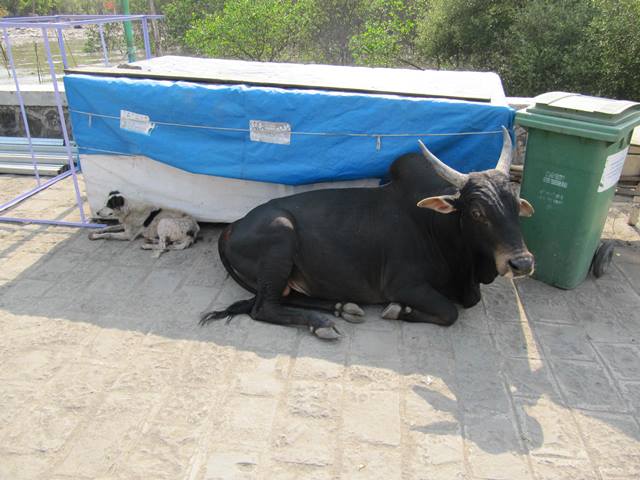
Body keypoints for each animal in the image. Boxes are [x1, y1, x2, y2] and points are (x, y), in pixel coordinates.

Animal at [202, 127, 532, 338]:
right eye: (477, 212)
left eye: (516, 205)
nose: (522, 263)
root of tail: (234, 226)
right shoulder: (404, 284)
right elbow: (449, 312)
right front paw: (398, 311)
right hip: (280, 237)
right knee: (264, 308)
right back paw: (322, 323)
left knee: (286, 298)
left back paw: (343, 306)